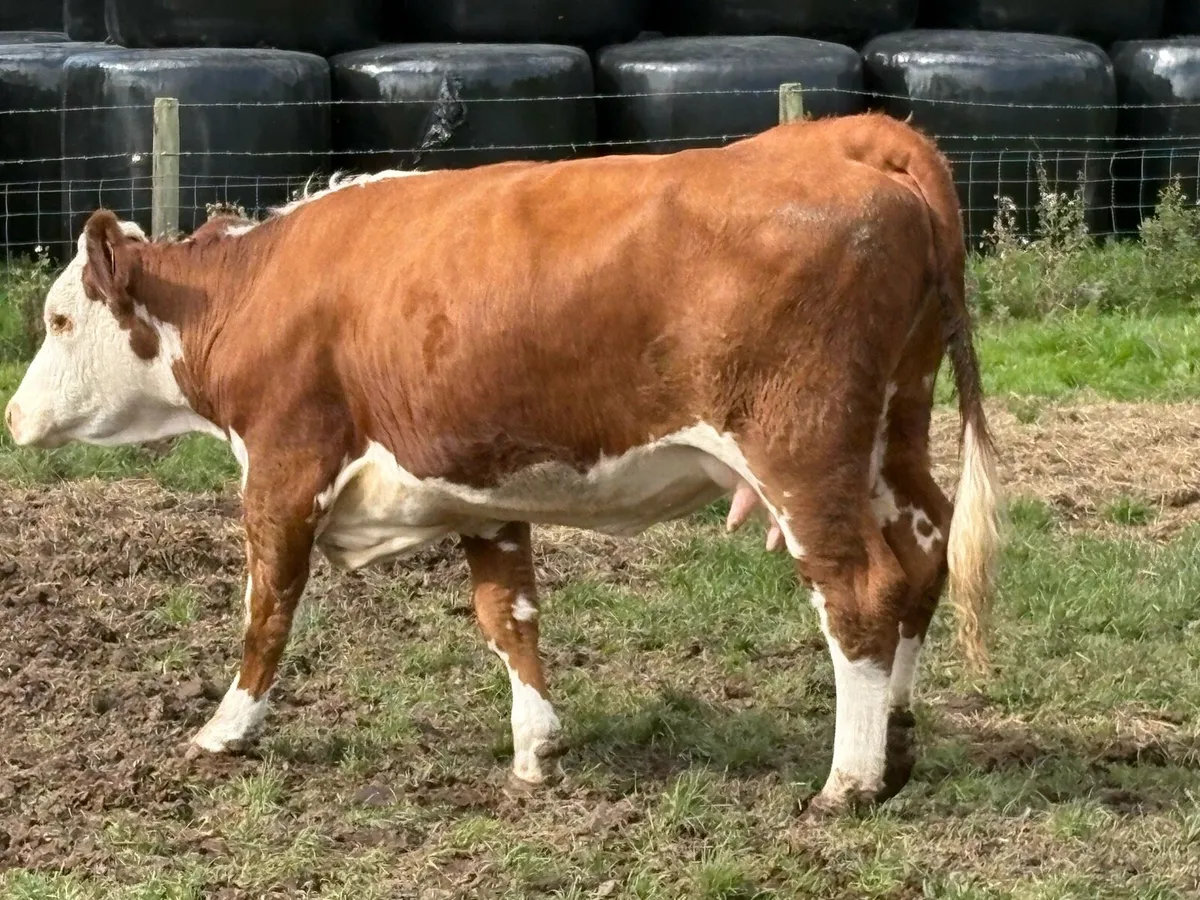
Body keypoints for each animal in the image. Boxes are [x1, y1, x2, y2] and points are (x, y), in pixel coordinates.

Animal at [4, 112, 1000, 815]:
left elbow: (268, 611)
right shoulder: (482, 485)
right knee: (922, 557)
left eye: (58, 318)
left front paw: (223, 730)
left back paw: (849, 783)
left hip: (801, 451)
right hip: (893, 433)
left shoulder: (284, 471)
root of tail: (847, 136)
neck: (256, 290)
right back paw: (897, 747)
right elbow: (508, 615)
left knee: (859, 590)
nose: (13, 417)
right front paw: (536, 747)